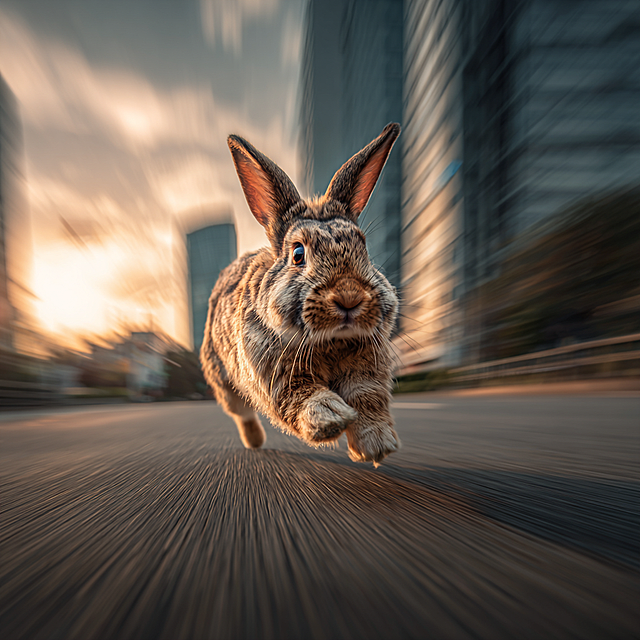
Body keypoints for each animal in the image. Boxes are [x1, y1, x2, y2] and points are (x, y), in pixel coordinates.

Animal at [200, 123, 401, 465]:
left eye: (363, 248)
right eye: (298, 254)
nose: (349, 297)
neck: (330, 341)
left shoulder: (366, 368)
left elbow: (367, 400)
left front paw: (377, 445)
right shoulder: (277, 376)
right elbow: (302, 398)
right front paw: (332, 419)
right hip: (223, 381)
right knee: (242, 413)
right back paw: (255, 442)